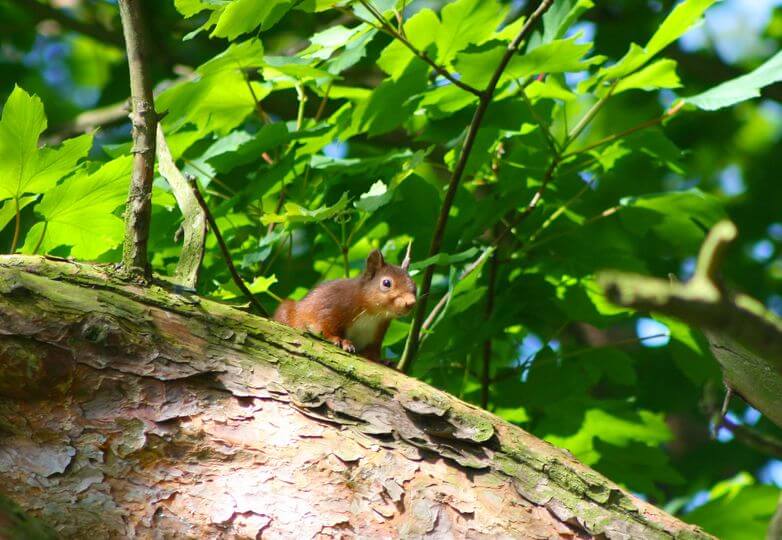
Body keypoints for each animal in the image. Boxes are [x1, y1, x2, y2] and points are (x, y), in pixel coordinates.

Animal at [274, 247, 416, 360]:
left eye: (414, 285)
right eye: (386, 283)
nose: (411, 303)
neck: (372, 313)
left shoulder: (377, 332)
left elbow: (373, 351)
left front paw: (384, 361)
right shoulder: (331, 304)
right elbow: (324, 325)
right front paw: (339, 340)